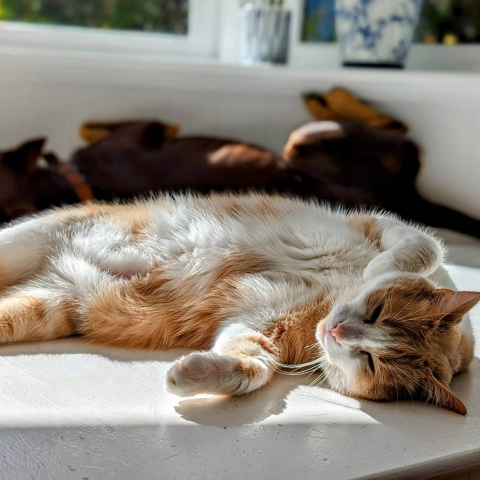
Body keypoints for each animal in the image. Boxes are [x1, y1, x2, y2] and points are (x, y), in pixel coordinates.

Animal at [0, 194, 476, 412]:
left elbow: (250, 365)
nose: (338, 330)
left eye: (371, 362)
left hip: (50, 303)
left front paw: (192, 376)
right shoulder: (374, 224)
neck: (328, 297)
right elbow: (423, 246)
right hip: (32, 236)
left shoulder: (260, 324)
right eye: (378, 312)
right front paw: (379, 266)